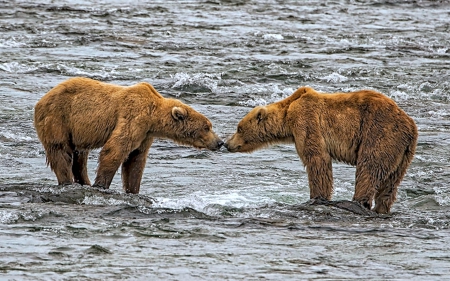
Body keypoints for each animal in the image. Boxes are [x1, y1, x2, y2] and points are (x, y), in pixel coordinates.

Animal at [34, 77, 224, 194]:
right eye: (207, 127)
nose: (220, 142)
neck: (153, 117)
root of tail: (41, 100)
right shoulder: (134, 117)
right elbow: (116, 148)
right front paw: (101, 185)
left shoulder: (145, 135)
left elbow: (136, 159)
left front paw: (133, 190)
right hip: (58, 118)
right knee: (60, 150)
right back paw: (67, 181)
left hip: (78, 130)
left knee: (80, 156)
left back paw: (83, 182)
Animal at [225, 85, 418, 212]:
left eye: (239, 128)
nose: (226, 143)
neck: (287, 116)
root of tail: (411, 126)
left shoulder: (306, 120)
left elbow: (317, 159)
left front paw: (317, 197)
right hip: (403, 153)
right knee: (391, 184)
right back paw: (381, 208)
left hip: (380, 133)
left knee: (369, 168)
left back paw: (357, 202)